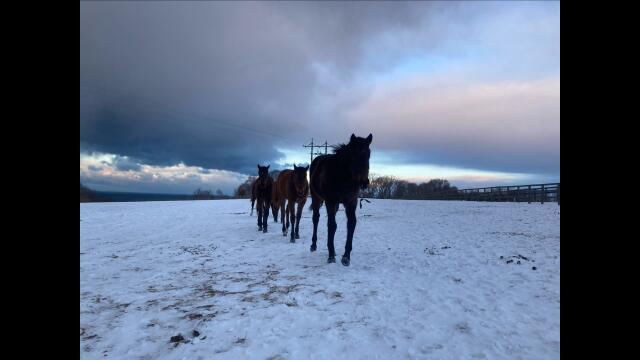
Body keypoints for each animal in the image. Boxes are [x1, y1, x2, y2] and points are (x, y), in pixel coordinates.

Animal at [308, 134, 370, 266]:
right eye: (354, 154)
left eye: (368, 154)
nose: (363, 182)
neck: (343, 177)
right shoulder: (330, 202)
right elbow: (331, 226)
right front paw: (331, 256)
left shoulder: (351, 203)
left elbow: (351, 225)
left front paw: (346, 257)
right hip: (316, 199)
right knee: (316, 219)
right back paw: (313, 245)